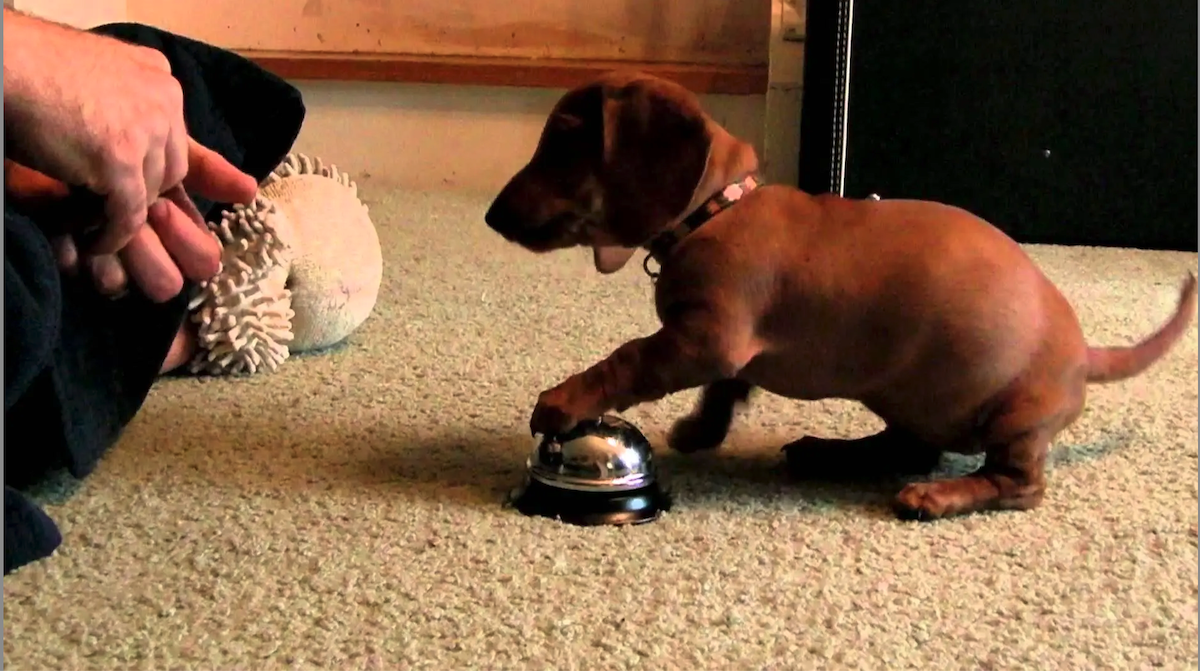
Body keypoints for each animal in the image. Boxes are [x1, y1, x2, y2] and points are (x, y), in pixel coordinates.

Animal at [482, 69, 1195, 520]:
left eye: (564, 140)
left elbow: (629, 358)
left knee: (1017, 483)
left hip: (1014, 419)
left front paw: (564, 399)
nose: (490, 216)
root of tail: (1087, 352)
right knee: (909, 447)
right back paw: (829, 452)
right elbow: (726, 389)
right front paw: (701, 429)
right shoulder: (724, 352)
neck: (717, 211)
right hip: (909, 395)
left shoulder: (702, 339)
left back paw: (938, 497)